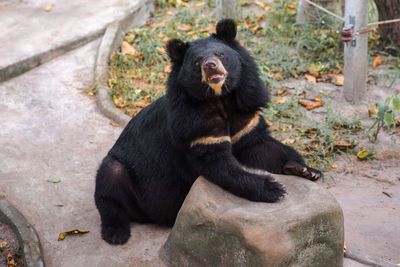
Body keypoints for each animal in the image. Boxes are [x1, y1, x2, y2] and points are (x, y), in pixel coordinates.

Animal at [94, 18, 322, 245]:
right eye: (197, 62)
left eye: (220, 54)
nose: (210, 66)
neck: (220, 99)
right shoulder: (194, 126)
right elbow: (220, 165)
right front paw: (273, 189)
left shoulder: (245, 114)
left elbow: (261, 146)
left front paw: (307, 170)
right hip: (123, 170)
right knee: (109, 187)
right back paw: (117, 233)